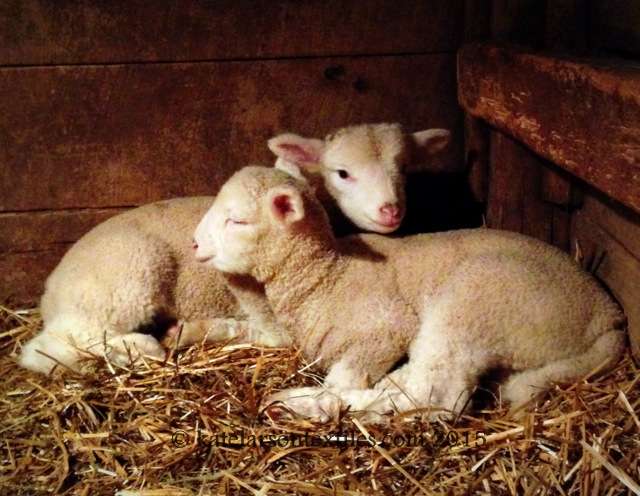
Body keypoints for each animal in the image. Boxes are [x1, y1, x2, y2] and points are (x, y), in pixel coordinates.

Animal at [20, 123, 450, 375]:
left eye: (405, 168)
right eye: (342, 173)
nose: (390, 210)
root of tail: (50, 290)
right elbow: (268, 333)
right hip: (128, 278)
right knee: (50, 345)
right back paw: (139, 348)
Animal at [193, 165, 627, 421]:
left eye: (238, 221)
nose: (194, 243)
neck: (327, 276)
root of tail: (609, 318)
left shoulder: (385, 326)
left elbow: (348, 371)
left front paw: (325, 396)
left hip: (477, 301)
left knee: (436, 392)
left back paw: (306, 402)